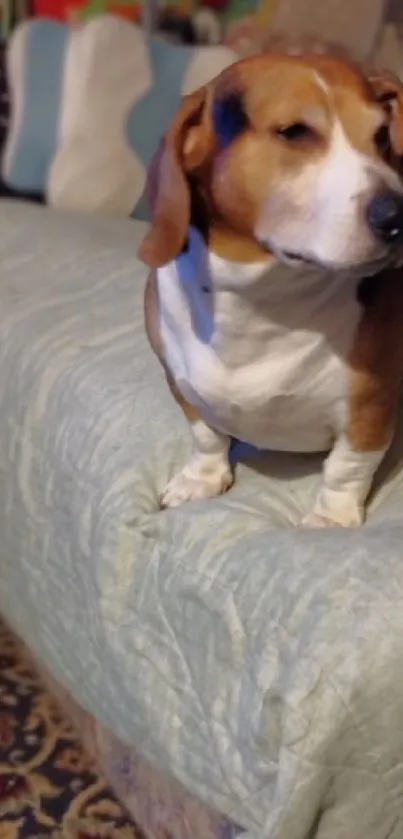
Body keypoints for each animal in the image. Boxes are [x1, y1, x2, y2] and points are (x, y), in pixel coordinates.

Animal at [138, 50, 403, 524]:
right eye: (294, 132)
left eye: (381, 136)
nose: (397, 216)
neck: (260, 299)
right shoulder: (180, 382)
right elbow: (205, 435)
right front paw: (202, 478)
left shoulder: (371, 404)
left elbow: (347, 466)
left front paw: (331, 517)